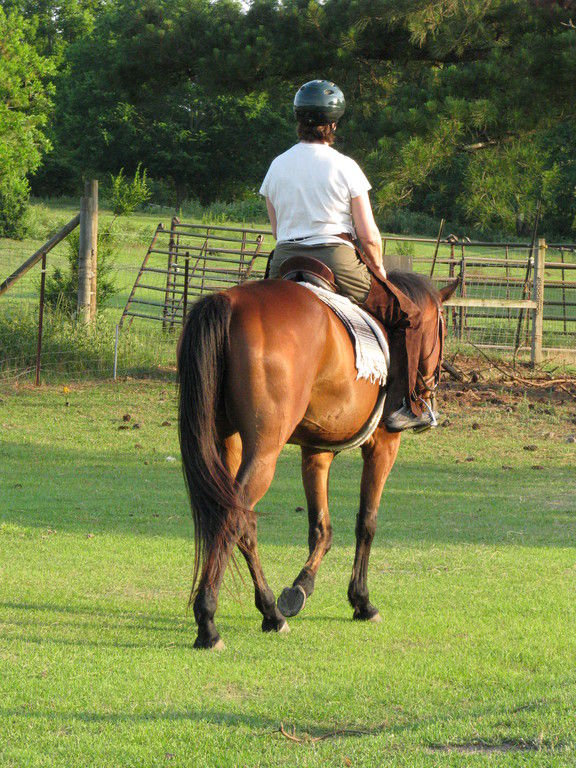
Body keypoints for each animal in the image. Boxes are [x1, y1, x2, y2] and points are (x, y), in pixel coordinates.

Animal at [178, 270, 456, 648]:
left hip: (227, 440)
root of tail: (230, 302)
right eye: (442, 330)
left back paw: (271, 612)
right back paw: (208, 622)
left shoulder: (316, 452)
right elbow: (366, 522)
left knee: (241, 518)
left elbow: (321, 528)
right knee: (231, 517)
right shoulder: (384, 445)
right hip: (264, 449)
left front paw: (301, 587)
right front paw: (362, 601)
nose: (430, 389)